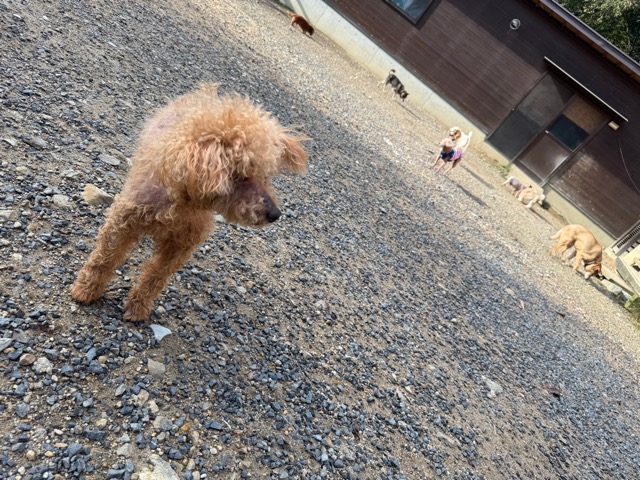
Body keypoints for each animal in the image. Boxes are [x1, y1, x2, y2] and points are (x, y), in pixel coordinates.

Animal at [71, 84, 308, 321]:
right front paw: (86, 289)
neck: (182, 201)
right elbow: (104, 259)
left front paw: (138, 307)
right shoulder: (123, 221)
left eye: (266, 176)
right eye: (241, 176)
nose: (275, 214)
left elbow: (155, 276)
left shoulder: (182, 244)